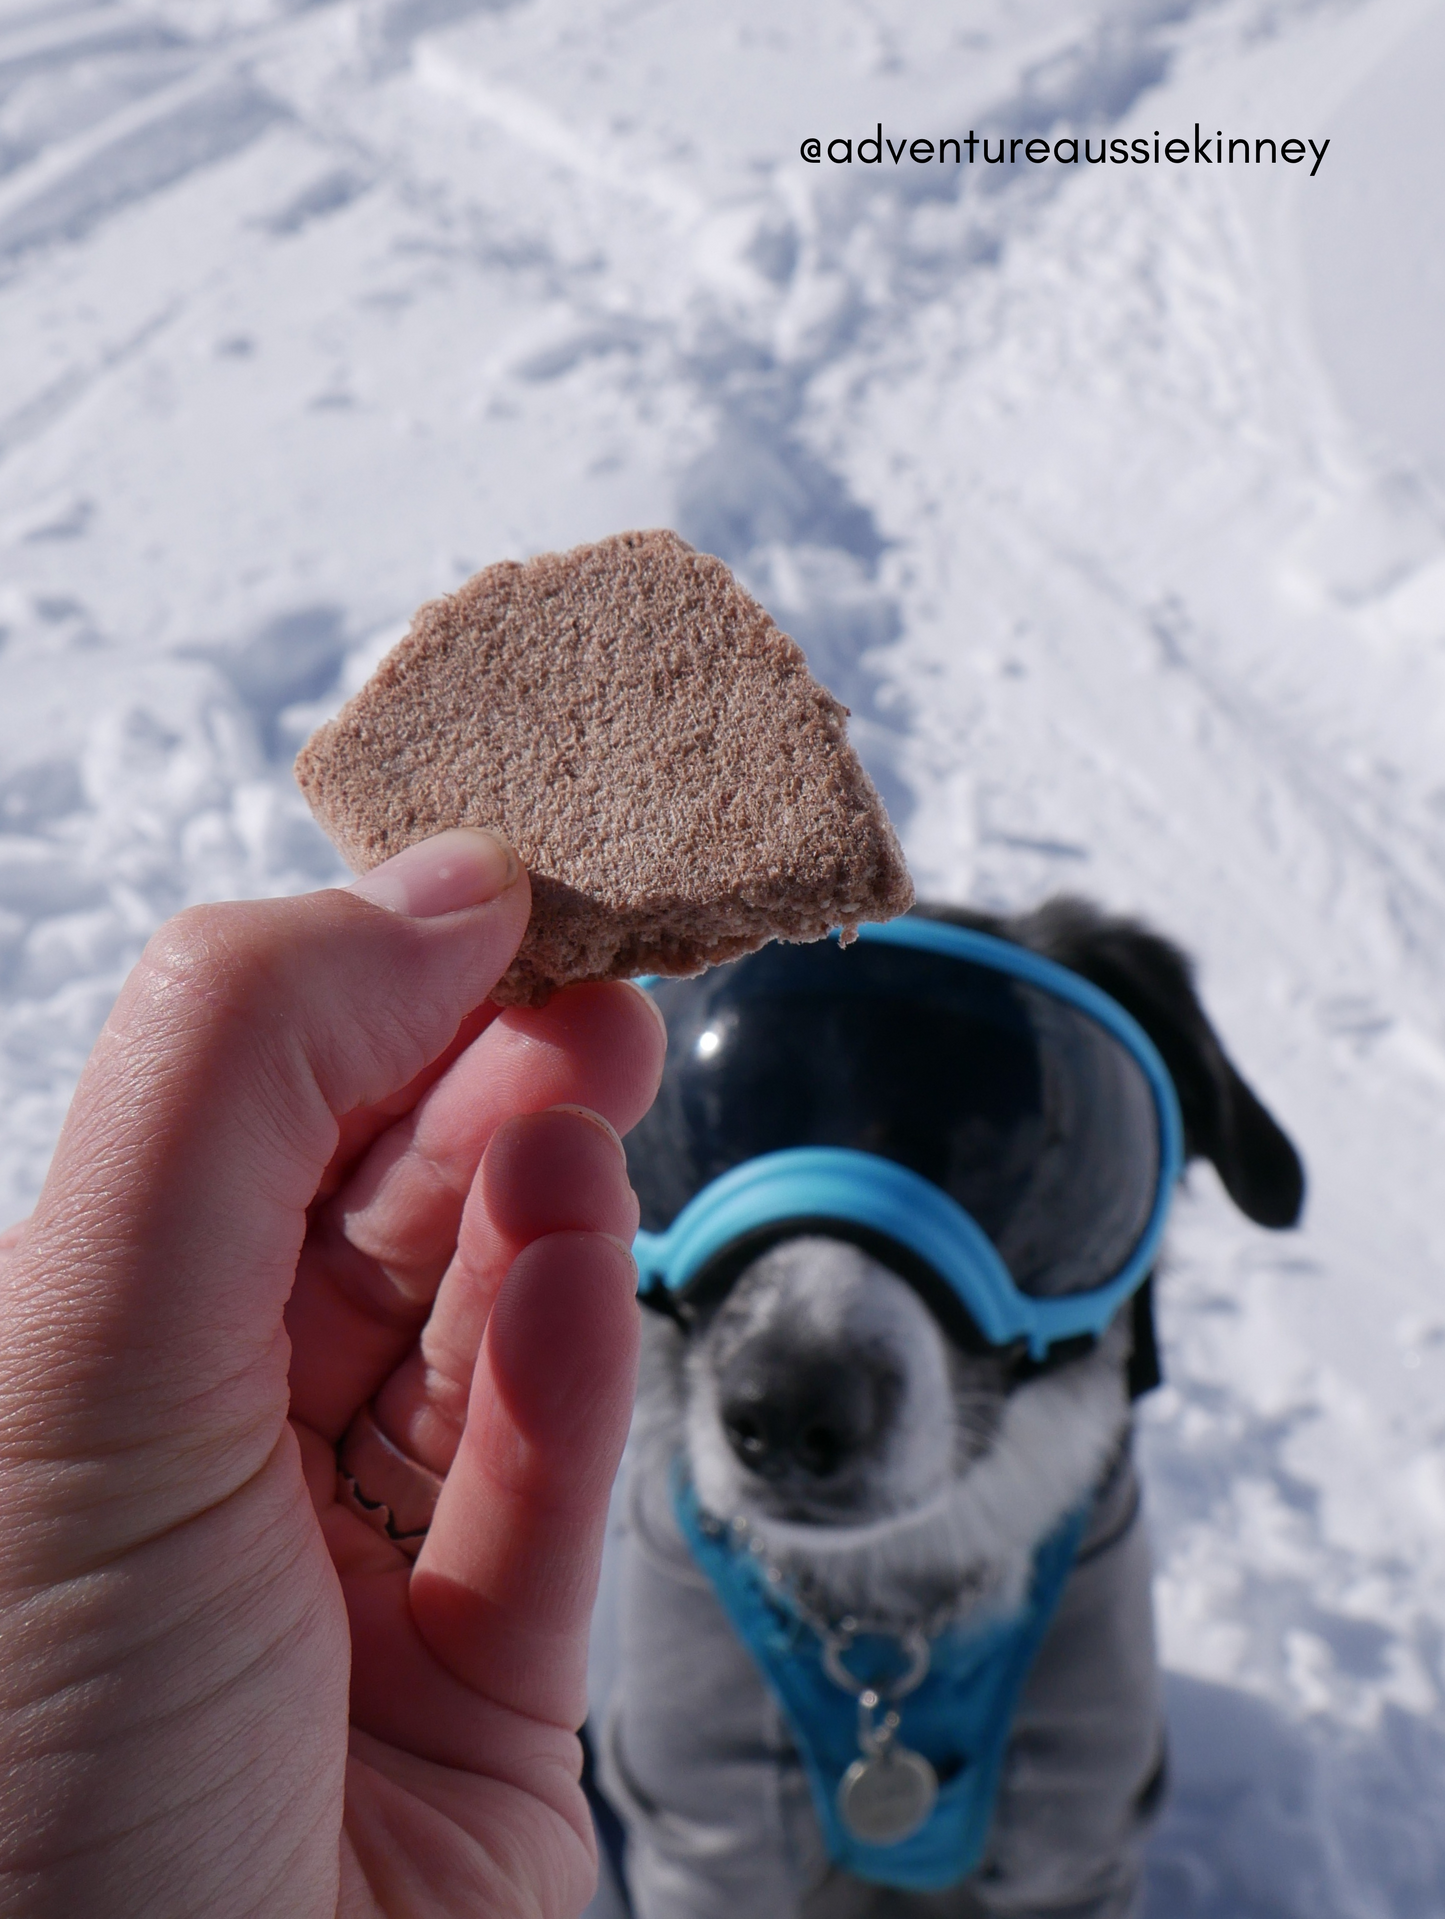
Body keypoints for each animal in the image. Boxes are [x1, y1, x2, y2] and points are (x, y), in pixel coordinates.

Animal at [591, 901, 1304, 1919]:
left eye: (988, 1148)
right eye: (719, 1124)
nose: (787, 1410)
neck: (887, 1633)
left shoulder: (1069, 1831)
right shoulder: (709, 1827)